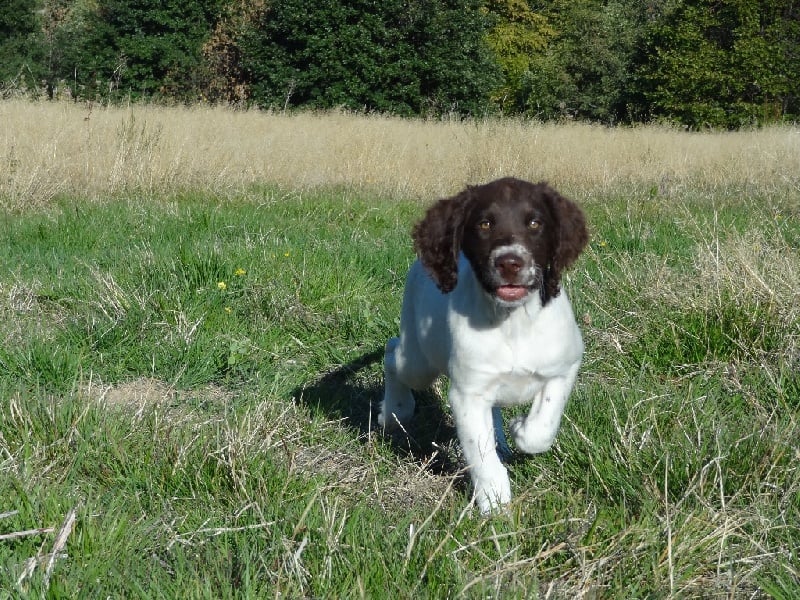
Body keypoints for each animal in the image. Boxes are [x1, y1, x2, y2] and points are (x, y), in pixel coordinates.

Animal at [378, 176, 584, 512]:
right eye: (484, 224)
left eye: (535, 223)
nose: (510, 263)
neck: (513, 322)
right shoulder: (467, 394)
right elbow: (481, 455)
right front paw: (494, 502)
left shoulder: (565, 366)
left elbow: (542, 428)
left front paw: (521, 429)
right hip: (419, 361)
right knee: (392, 352)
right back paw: (395, 412)